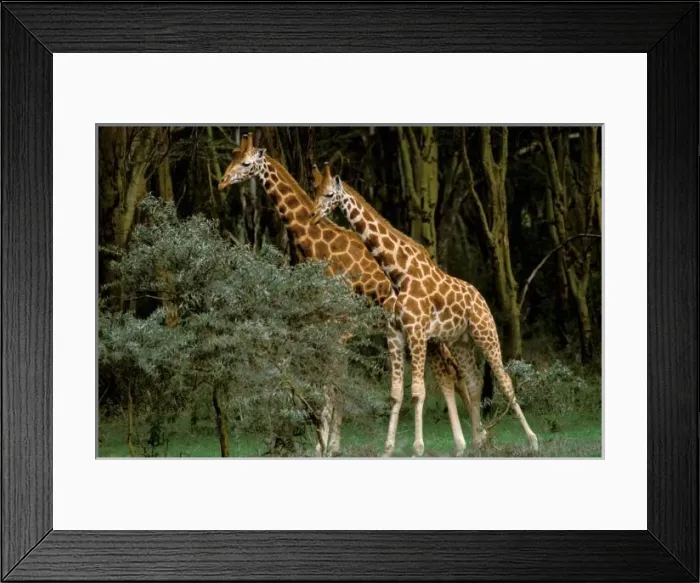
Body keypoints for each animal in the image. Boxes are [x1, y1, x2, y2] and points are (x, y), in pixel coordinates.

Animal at [217, 134, 462, 457]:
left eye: (246, 163)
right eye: (232, 157)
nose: (221, 182)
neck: (320, 246)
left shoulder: (340, 327)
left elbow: (333, 385)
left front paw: (326, 446)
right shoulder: (330, 325)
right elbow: (330, 383)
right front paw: (327, 445)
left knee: (448, 370)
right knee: (447, 371)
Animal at [310, 164, 539, 456]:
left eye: (329, 194)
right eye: (314, 191)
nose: (313, 215)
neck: (398, 273)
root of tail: (481, 298)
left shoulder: (416, 333)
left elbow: (418, 392)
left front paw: (417, 448)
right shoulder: (395, 335)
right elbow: (396, 394)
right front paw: (387, 450)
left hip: (485, 332)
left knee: (505, 380)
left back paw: (532, 440)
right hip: (461, 341)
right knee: (474, 381)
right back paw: (477, 441)